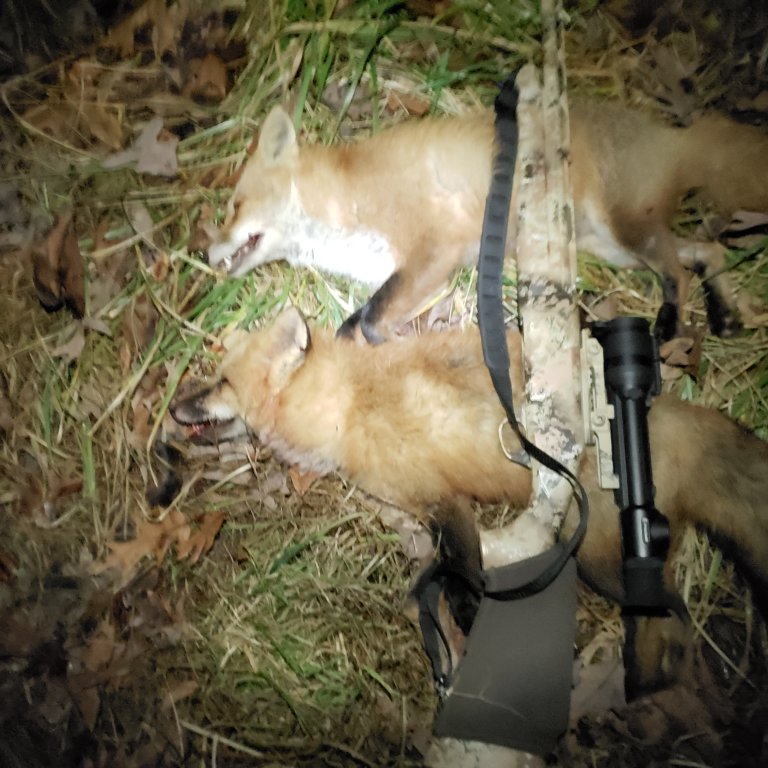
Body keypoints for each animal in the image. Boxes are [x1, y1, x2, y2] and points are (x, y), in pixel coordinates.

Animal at [171, 308, 768, 697]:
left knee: (672, 616)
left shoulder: (445, 502)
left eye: (219, 382)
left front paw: (469, 627)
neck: (351, 404)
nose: (174, 408)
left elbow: (464, 574)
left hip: (603, 560)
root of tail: (664, 417)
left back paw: (653, 686)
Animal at [206, 100, 768, 344]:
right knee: (706, 252)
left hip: (626, 233)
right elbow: (360, 322)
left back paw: (671, 323)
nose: (205, 254)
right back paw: (723, 313)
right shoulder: (405, 271)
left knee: (678, 271)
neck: (346, 200)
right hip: (614, 248)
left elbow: (368, 319)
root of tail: (671, 133)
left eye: (234, 205)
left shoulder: (437, 249)